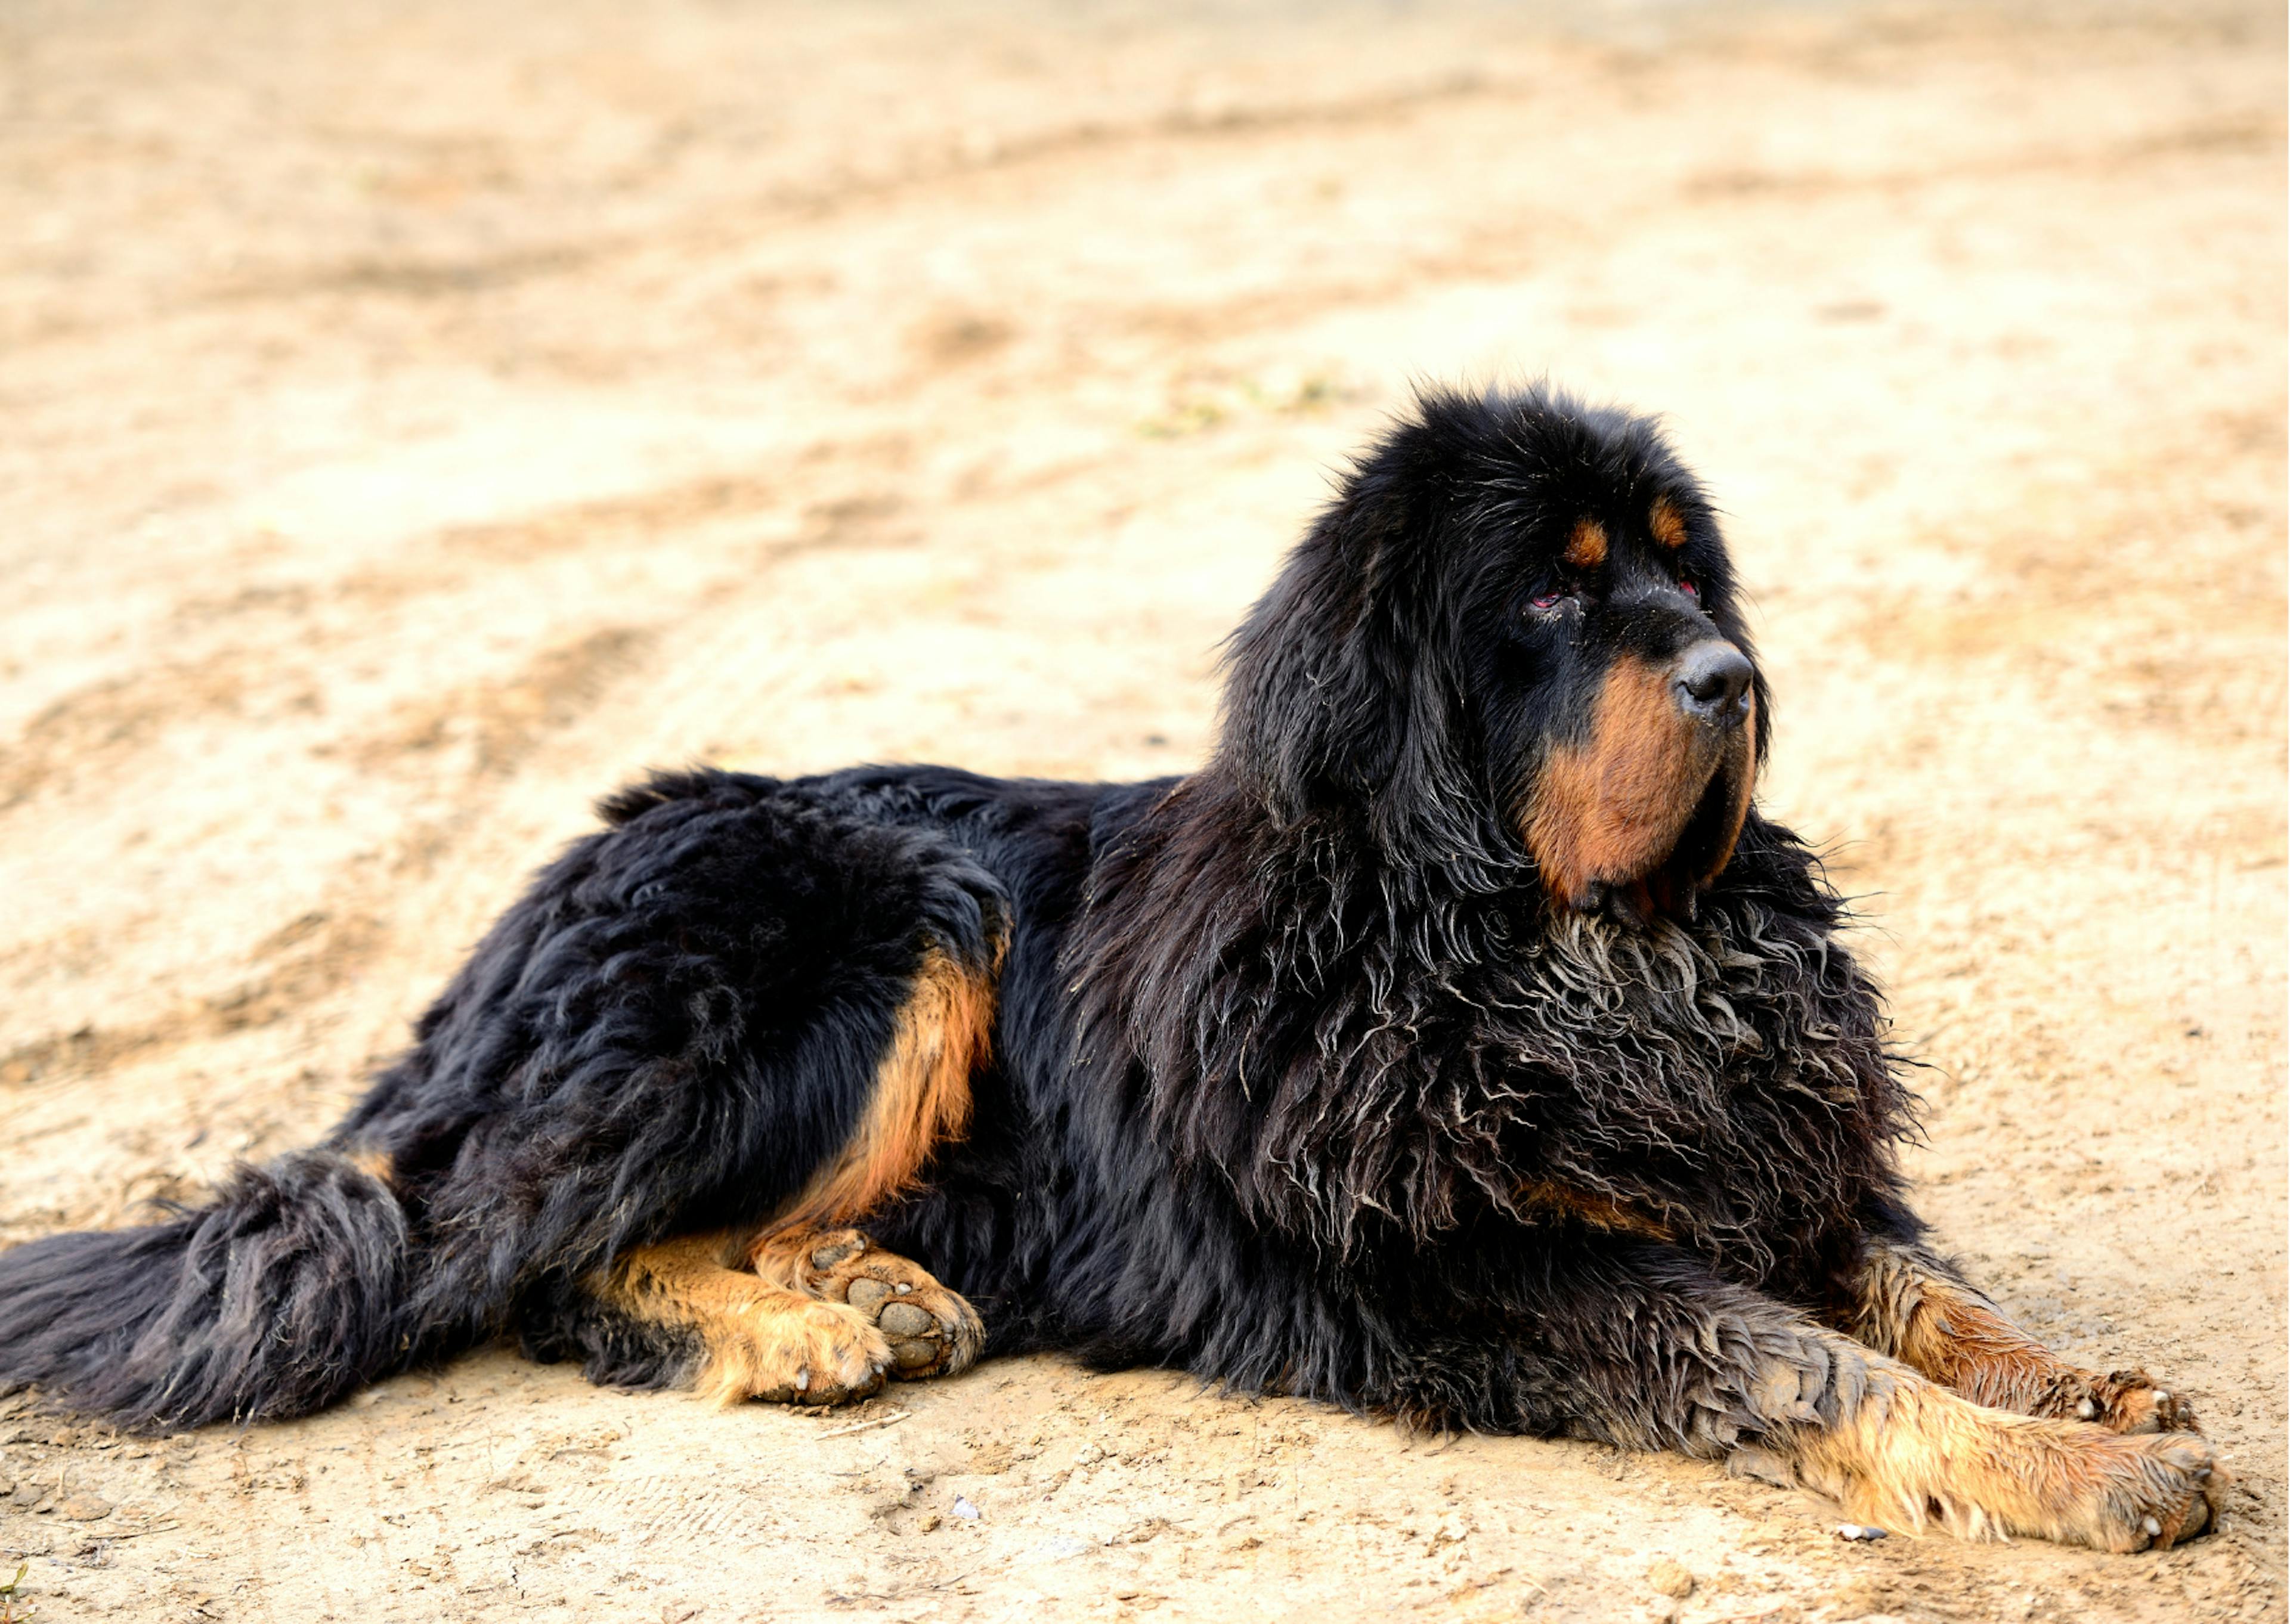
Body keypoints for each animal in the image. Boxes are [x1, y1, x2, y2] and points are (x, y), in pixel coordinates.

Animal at [0, 389, 2217, 1548]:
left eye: (1687, 565)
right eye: (1554, 598)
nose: (1733, 676)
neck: (1552, 952)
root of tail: (519, 917)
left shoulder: (1740, 1149)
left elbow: (1915, 1284)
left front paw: (2076, 1384)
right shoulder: (1482, 1259)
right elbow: (1800, 1354)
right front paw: (2074, 1470)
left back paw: (868, 1282)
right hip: (881, 912)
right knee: (540, 1262)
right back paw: (804, 1327)